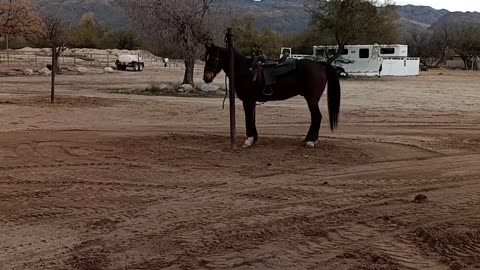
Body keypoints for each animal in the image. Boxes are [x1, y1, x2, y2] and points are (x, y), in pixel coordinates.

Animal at [202, 43, 342, 148]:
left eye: (214, 58)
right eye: (205, 57)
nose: (206, 78)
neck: (246, 71)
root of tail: (319, 64)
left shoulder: (248, 100)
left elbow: (248, 119)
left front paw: (249, 140)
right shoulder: (251, 101)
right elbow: (252, 118)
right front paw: (254, 139)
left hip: (312, 99)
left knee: (317, 117)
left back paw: (311, 141)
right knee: (316, 118)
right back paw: (310, 139)